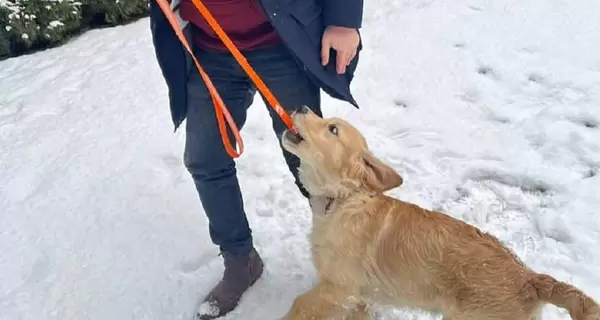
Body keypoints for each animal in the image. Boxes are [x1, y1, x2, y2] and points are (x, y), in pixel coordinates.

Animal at [278, 107, 596, 320]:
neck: (344, 199)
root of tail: (529, 278)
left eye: (332, 129)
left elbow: (297, 306)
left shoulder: (338, 288)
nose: (301, 107)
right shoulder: (359, 298)